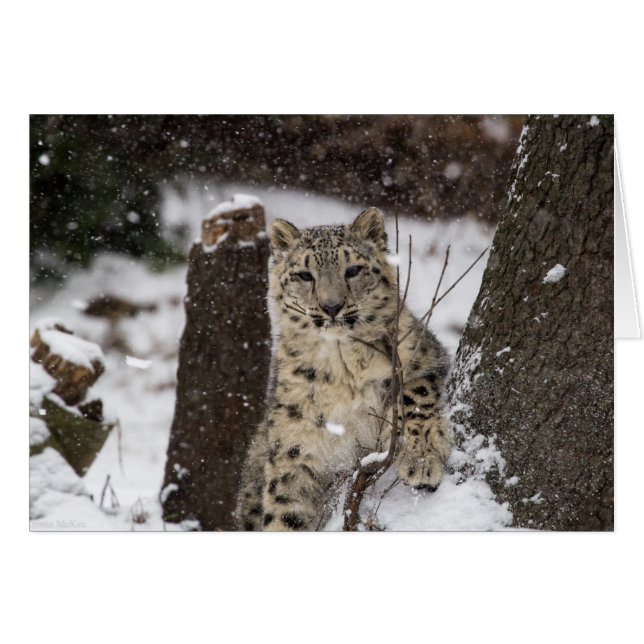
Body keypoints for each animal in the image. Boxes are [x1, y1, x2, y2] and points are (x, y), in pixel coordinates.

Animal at [237, 207, 451, 531]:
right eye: (305, 275)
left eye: (352, 270)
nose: (331, 307)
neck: (342, 368)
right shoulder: (295, 442)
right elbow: (284, 508)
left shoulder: (422, 355)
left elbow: (415, 395)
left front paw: (422, 460)